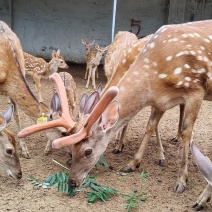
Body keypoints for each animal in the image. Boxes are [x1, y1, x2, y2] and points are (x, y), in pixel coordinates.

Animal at [18, 20, 212, 197]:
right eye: (72, 146)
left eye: (88, 151)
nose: (72, 182)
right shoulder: (160, 100)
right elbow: (150, 126)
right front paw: (132, 163)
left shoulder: (195, 90)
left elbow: (186, 132)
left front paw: (181, 179)